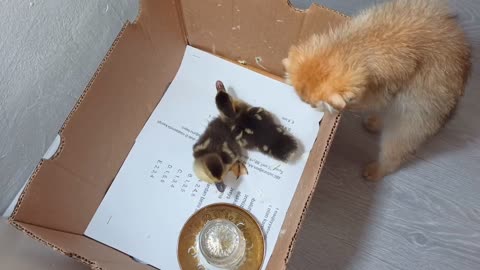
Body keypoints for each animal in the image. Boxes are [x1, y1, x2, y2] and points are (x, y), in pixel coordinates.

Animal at [282, 0, 472, 181]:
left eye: (313, 105)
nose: (310, 107)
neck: (358, 45)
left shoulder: (385, 88)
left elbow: (366, 100)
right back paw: (376, 122)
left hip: (412, 120)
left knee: (395, 152)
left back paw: (378, 169)